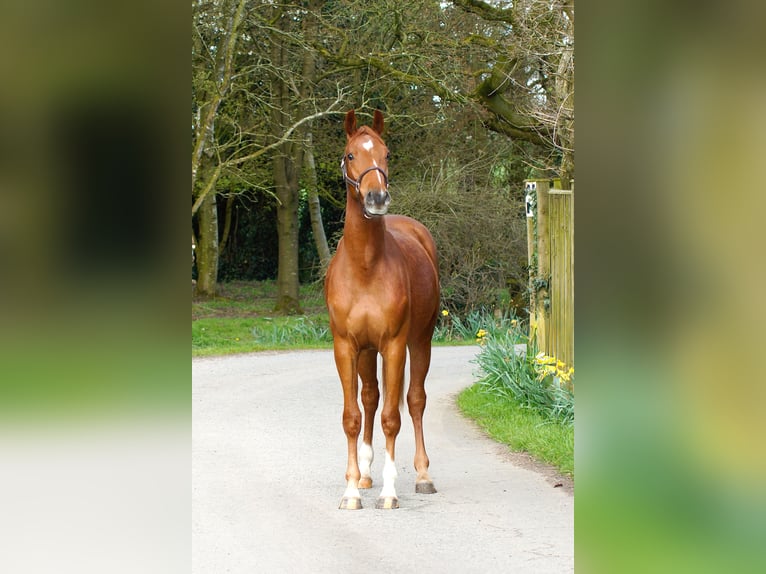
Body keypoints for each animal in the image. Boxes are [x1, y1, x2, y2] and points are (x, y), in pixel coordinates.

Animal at [326, 110, 444, 510]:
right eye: (350, 154)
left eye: (386, 153)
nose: (376, 197)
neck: (365, 266)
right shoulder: (345, 346)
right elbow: (351, 416)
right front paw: (350, 490)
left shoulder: (394, 345)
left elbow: (393, 417)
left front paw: (390, 492)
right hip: (366, 352)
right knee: (370, 398)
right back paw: (364, 473)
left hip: (420, 342)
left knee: (415, 401)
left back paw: (423, 475)